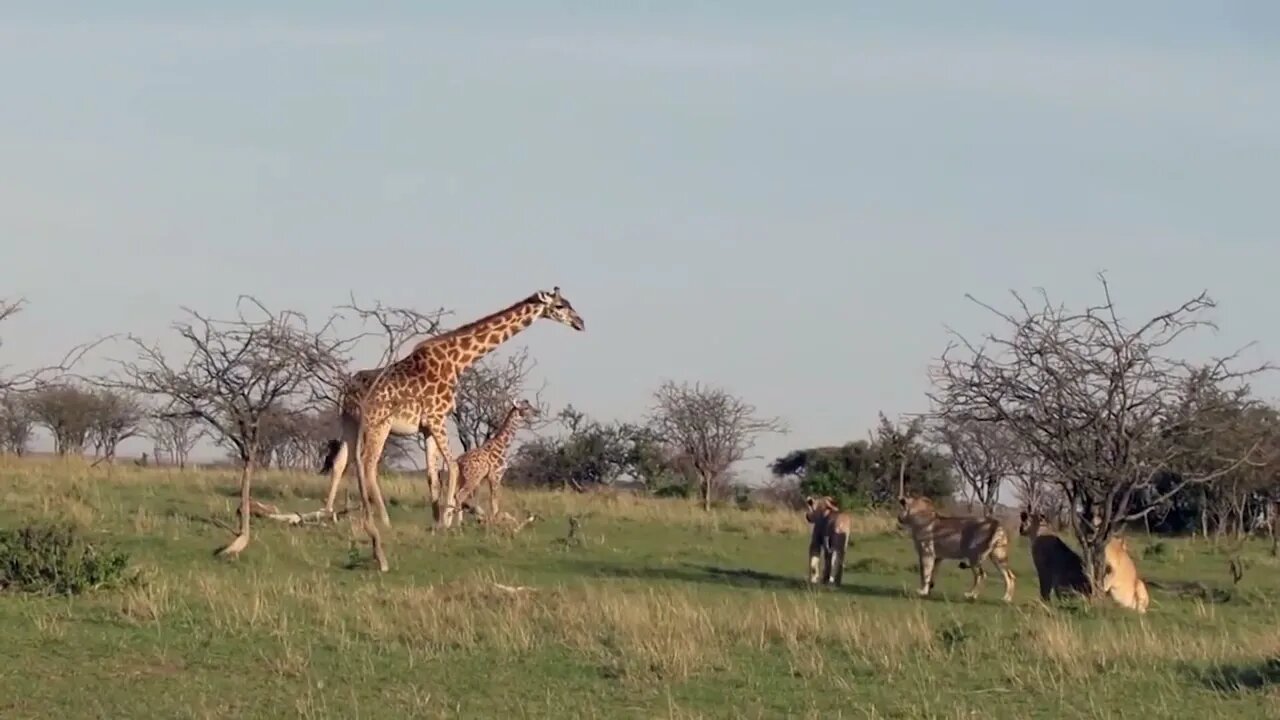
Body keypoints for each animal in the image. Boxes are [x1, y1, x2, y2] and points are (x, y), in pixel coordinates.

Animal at [320, 285, 586, 527]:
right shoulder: (438, 417)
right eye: (560, 306)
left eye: (569, 303)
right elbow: (453, 467)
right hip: (379, 423)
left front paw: (437, 518)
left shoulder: (427, 426)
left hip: (350, 421)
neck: (456, 362)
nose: (580, 323)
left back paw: (329, 513)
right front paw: (447, 520)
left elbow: (432, 474)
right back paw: (383, 519)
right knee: (368, 464)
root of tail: (349, 389)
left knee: (341, 462)